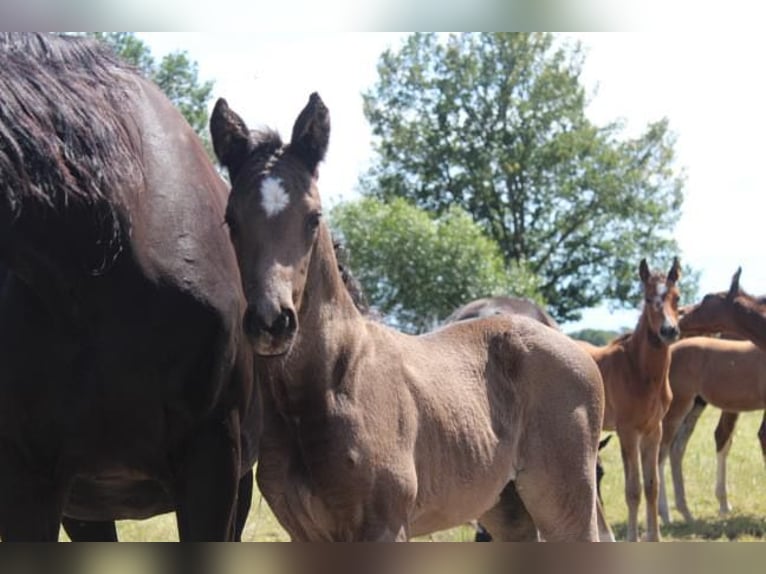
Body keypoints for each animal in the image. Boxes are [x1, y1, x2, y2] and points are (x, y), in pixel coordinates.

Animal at [210, 92, 608, 544]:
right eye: (231, 220)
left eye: (313, 218)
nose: (272, 322)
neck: (329, 385)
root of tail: (575, 349)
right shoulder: (304, 535)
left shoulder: (385, 527)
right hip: (508, 508)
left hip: (565, 502)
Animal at [580, 258, 680, 544]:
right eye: (647, 298)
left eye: (677, 298)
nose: (669, 331)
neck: (639, 369)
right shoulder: (627, 431)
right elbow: (633, 489)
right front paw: (633, 538)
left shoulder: (653, 430)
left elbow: (652, 485)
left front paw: (655, 538)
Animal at [656, 338, 766, 528]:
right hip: (676, 407)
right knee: (661, 454)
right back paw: (666, 515)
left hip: (694, 406)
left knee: (677, 449)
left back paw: (686, 513)